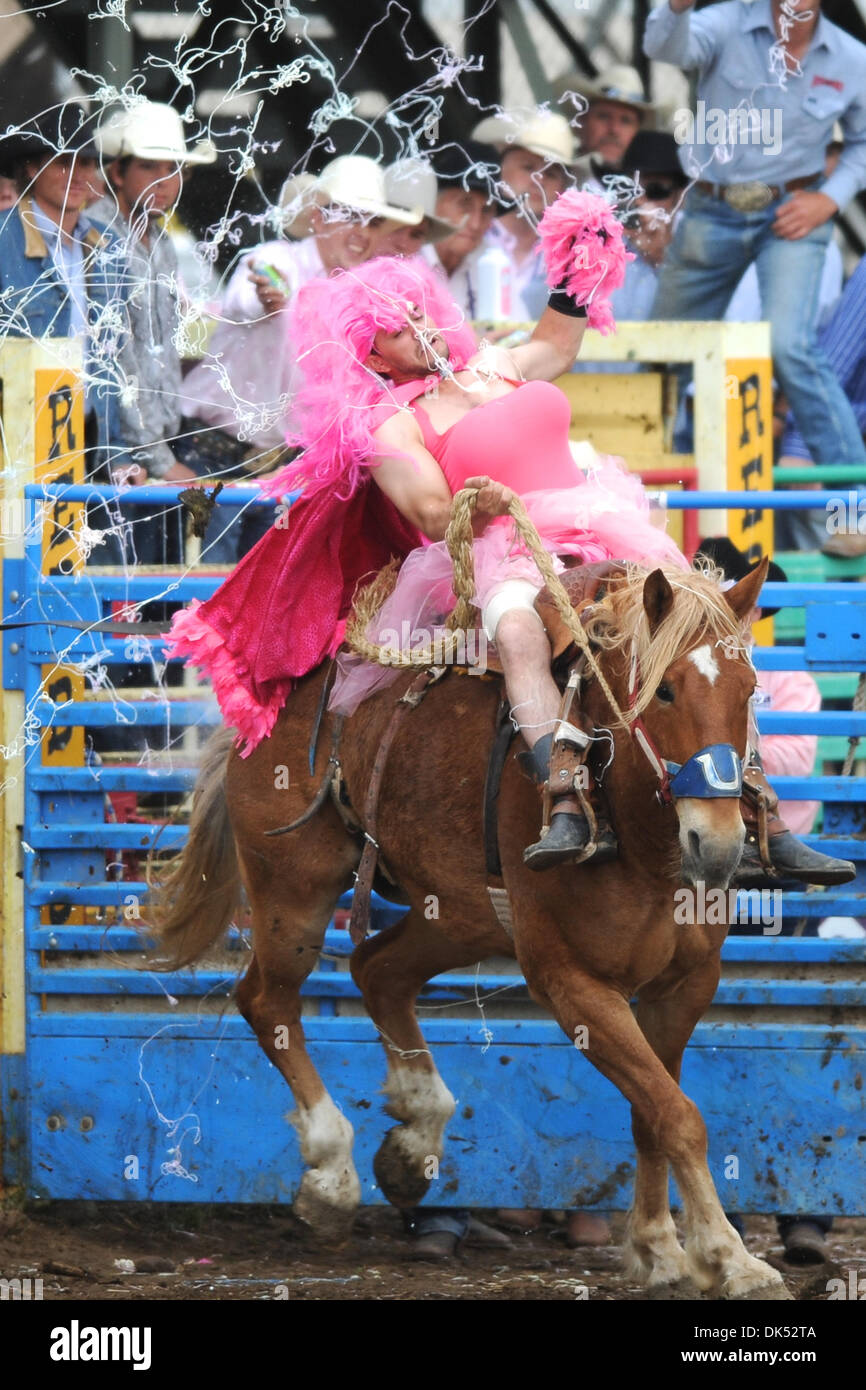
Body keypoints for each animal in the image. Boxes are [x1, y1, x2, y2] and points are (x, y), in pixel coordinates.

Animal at [154, 558, 795, 1295]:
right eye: (663, 691)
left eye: (749, 691)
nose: (718, 845)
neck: (635, 833)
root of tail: (264, 711)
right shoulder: (572, 984)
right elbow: (677, 1115)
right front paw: (728, 1256)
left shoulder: (685, 986)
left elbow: (652, 1114)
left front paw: (658, 1246)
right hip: (296, 894)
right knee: (269, 1000)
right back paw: (333, 1172)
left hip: (460, 916)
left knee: (378, 970)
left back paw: (415, 1137)